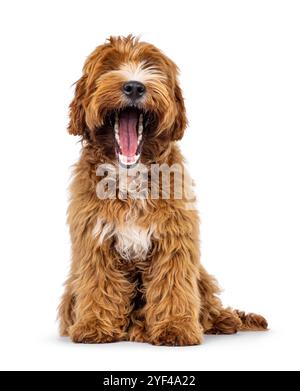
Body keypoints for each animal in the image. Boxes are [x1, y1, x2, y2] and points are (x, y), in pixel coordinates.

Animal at [58, 34, 268, 346]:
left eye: (151, 66)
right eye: (110, 67)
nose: (134, 86)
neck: (130, 175)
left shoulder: (174, 236)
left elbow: (173, 283)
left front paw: (175, 327)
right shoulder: (95, 239)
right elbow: (99, 282)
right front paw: (95, 325)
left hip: (202, 275)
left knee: (209, 303)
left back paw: (226, 319)